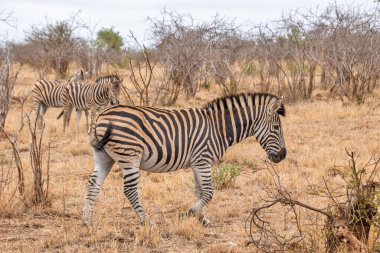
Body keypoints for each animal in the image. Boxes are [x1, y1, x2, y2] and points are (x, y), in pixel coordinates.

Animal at [82, 92, 284, 225]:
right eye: (276, 128)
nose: (283, 156)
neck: (219, 128)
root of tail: (101, 115)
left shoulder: (197, 162)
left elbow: (200, 191)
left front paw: (202, 218)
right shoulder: (203, 160)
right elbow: (209, 192)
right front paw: (192, 212)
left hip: (103, 157)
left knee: (93, 184)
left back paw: (86, 220)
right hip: (130, 156)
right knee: (130, 190)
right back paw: (147, 221)